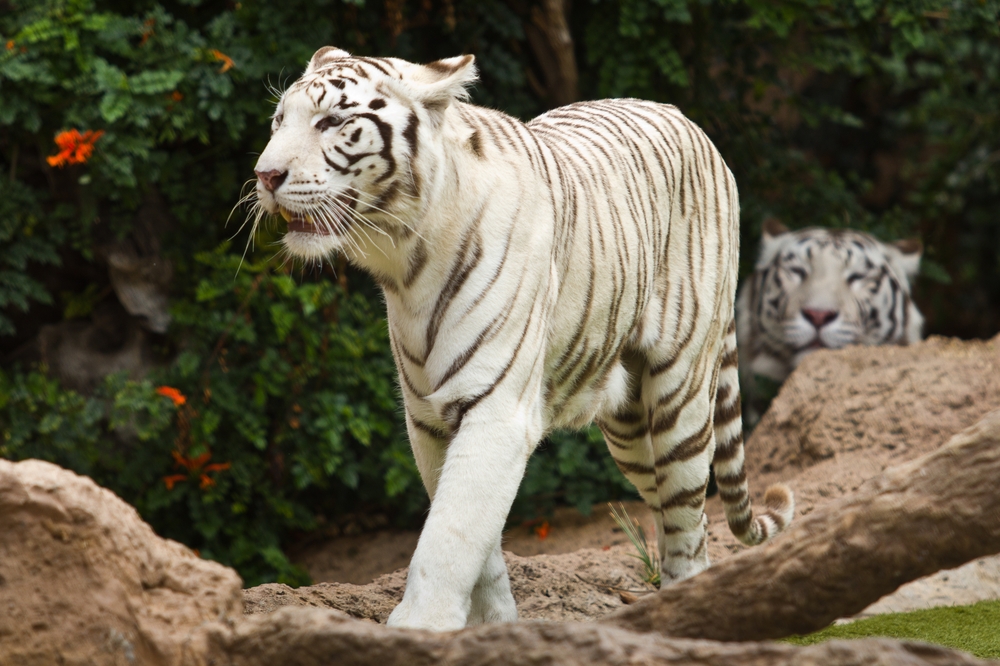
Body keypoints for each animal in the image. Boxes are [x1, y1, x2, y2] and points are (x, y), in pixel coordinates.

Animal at [252, 46, 796, 628]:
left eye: (332, 122)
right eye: (278, 121)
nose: (265, 175)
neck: (406, 262)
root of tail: (686, 119)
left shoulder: (495, 408)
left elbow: (449, 533)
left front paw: (421, 624)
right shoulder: (429, 419)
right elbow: (478, 544)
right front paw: (493, 628)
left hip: (680, 393)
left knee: (687, 517)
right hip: (629, 427)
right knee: (675, 513)